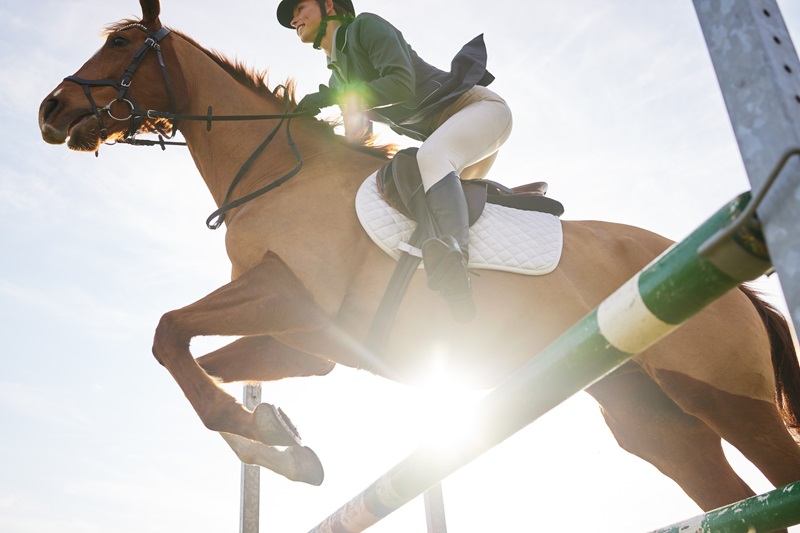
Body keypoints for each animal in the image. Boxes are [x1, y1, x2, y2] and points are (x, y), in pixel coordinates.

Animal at [36, 0, 800, 524]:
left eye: (123, 43)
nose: (50, 109)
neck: (277, 174)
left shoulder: (289, 297)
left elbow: (168, 334)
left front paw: (267, 431)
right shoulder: (302, 342)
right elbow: (202, 374)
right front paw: (280, 441)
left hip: (724, 393)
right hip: (656, 422)